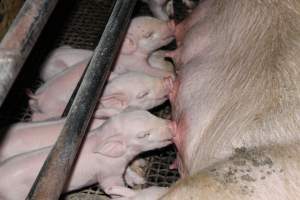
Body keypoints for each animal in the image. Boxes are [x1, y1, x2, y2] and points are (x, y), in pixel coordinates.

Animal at [0, 109, 175, 200]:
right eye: (143, 135)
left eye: (151, 114)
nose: (172, 124)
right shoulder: (107, 173)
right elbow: (111, 186)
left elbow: (127, 172)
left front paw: (140, 180)